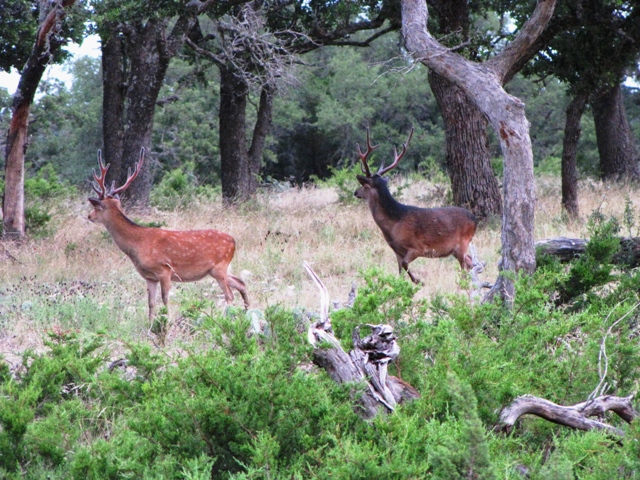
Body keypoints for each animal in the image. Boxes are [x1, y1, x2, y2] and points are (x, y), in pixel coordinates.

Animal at [89, 149, 249, 318]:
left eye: (96, 207)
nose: (89, 216)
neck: (137, 243)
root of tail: (233, 242)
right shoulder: (150, 277)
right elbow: (151, 304)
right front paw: (151, 324)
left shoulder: (165, 270)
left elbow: (165, 300)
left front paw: (167, 321)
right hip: (221, 268)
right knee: (241, 283)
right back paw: (247, 311)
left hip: (219, 267)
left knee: (229, 295)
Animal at [352, 128, 478, 284]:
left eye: (364, 185)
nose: (355, 192)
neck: (394, 224)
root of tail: (475, 219)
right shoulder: (397, 251)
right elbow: (400, 271)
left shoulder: (418, 248)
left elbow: (406, 264)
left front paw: (418, 280)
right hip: (457, 249)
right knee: (470, 262)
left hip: (463, 243)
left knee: (465, 267)